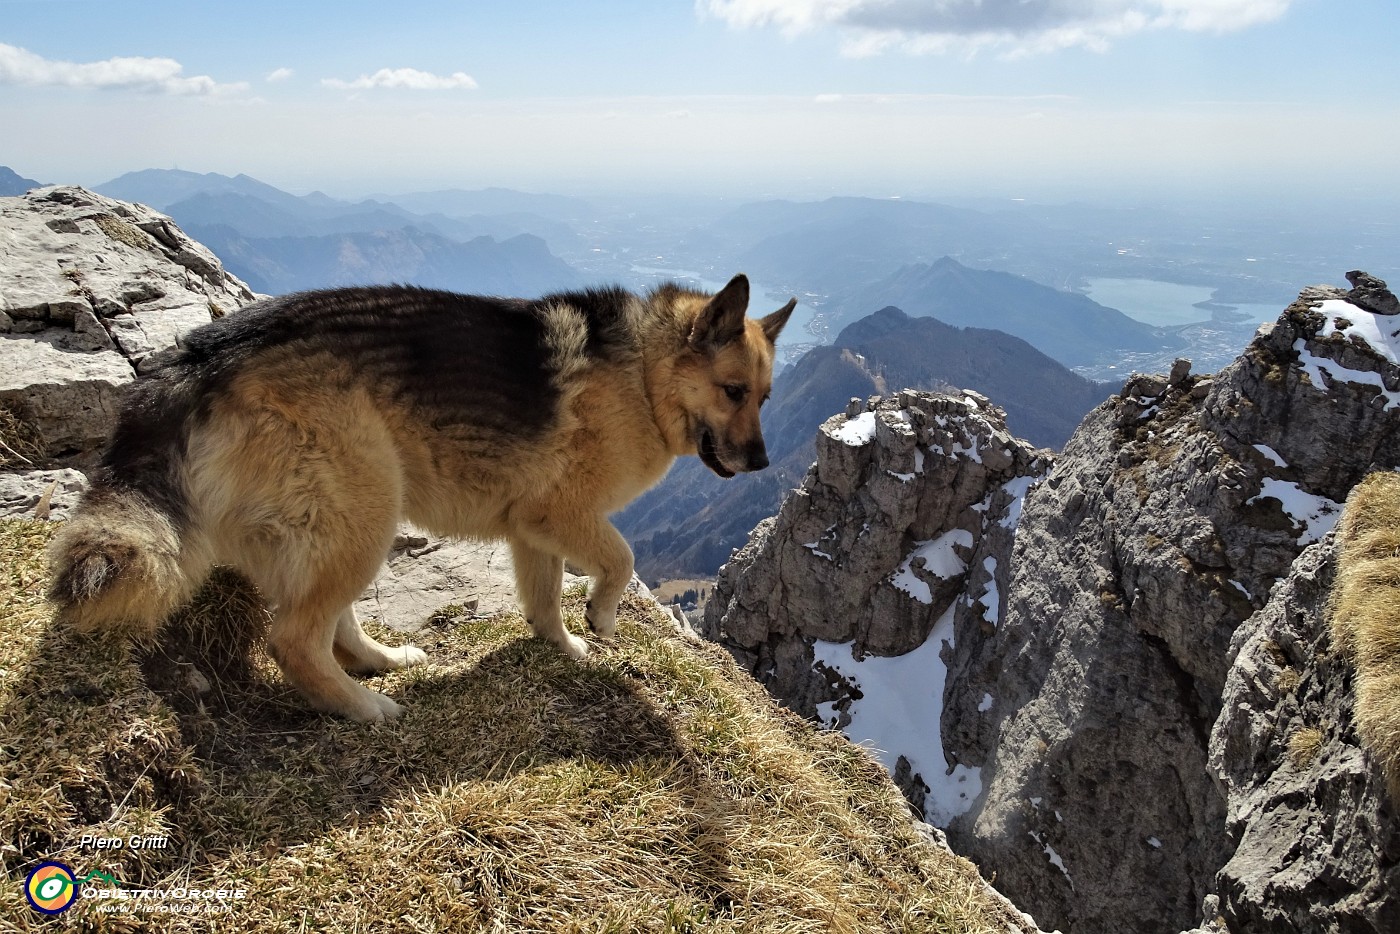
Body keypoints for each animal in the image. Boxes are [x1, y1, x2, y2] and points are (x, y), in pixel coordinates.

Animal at [49, 274, 795, 722]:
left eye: (765, 398)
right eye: (732, 391)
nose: (763, 462)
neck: (642, 373)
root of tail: (202, 356)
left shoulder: (532, 531)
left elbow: (543, 602)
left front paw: (562, 647)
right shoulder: (563, 517)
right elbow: (621, 559)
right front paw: (604, 616)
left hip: (336, 524)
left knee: (325, 621)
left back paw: (380, 663)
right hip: (368, 509)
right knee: (293, 638)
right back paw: (361, 708)